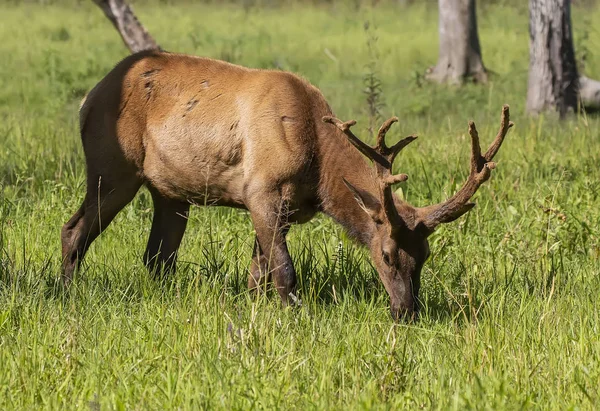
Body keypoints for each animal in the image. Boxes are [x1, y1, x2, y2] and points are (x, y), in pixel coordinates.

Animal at [59, 50, 510, 322]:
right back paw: (65, 292)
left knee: (157, 257)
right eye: (385, 253)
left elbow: (258, 273)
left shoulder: (286, 207)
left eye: (426, 255)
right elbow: (285, 273)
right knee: (74, 229)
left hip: (169, 193)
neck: (318, 169)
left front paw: (256, 314)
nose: (406, 311)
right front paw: (294, 320)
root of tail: (87, 99)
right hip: (112, 167)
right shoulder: (260, 188)